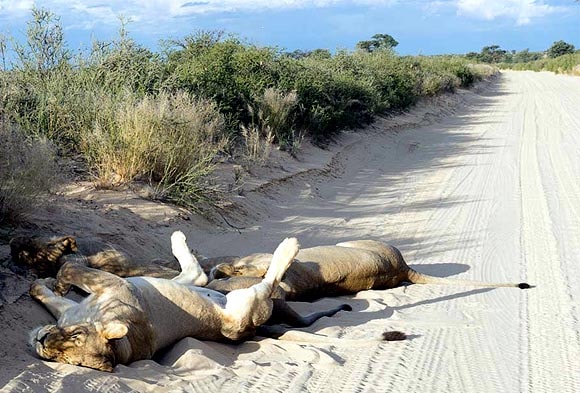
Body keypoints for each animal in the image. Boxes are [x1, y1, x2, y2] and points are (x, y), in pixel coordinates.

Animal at [28, 233, 300, 370]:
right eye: (60, 359)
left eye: (77, 336)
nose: (42, 340)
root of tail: (250, 330)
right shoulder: (71, 309)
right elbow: (46, 294)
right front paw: (40, 285)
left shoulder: (113, 285)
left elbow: (69, 269)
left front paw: (58, 278)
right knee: (198, 275)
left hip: (245, 306)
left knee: (268, 282)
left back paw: (290, 246)